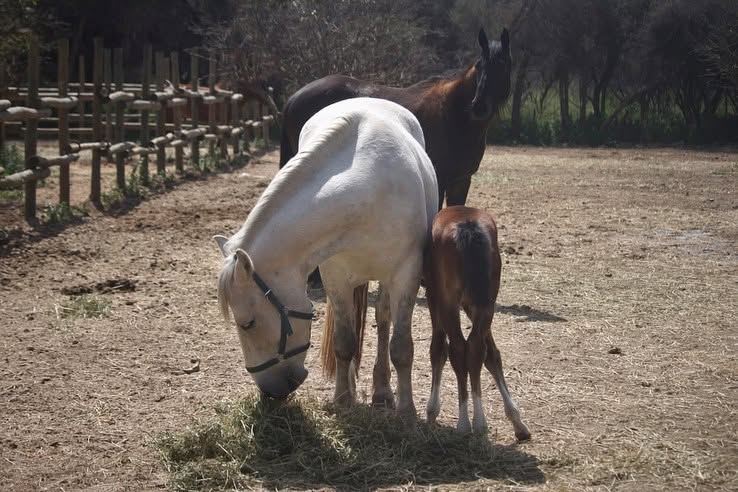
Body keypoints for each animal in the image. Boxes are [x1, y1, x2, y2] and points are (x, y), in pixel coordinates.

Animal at [214, 98, 438, 415]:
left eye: (248, 323)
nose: (269, 392)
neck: (367, 193)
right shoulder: (335, 278)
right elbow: (344, 341)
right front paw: (343, 399)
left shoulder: (406, 276)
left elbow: (401, 346)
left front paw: (407, 411)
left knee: (383, 322)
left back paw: (382, 391)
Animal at [279, 27, 511, 208]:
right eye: (479, 65)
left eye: (504, 66)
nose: (478, 106)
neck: (455, 117)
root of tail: (294, 97)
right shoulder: (441, 179)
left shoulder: (461, 182)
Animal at [424, 206, 530, 440]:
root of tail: (468, 226)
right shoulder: (473, 304)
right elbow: (492, 355)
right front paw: (516, 420)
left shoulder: (434, 297)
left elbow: (438, 350)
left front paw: (432, 411)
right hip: (486, 303)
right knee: (475, 347)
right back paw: (481, 423)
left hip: (448, 302)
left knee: (457, 347)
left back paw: (464, 423)